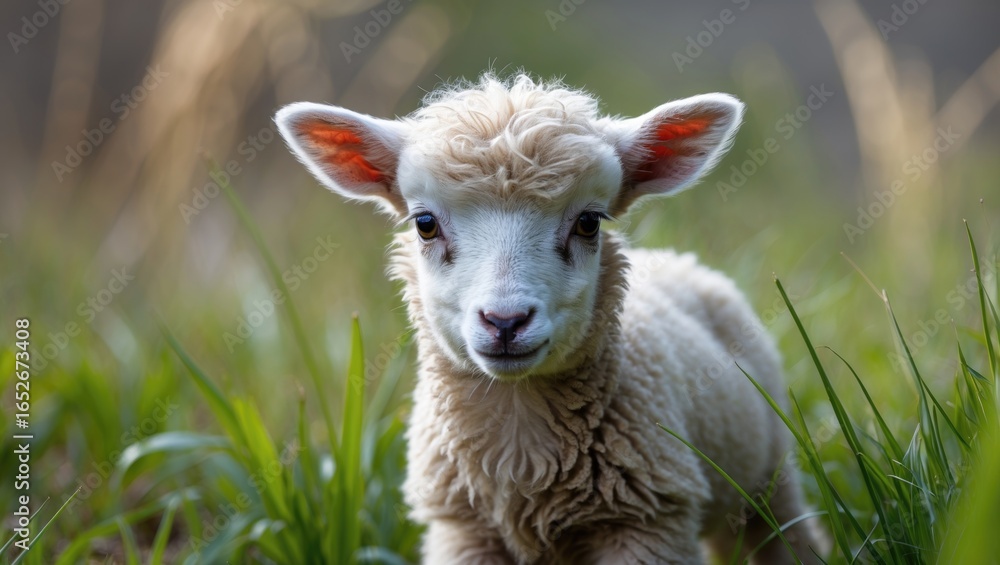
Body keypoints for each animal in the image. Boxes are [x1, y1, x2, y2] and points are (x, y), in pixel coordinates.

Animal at [275, 73, 825, 564]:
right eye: (425, 224)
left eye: (589, 222)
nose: (505, 321)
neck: (520, 439)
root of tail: (675, 258)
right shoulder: (461, 531)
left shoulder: (646, 523)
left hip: (770, 476)